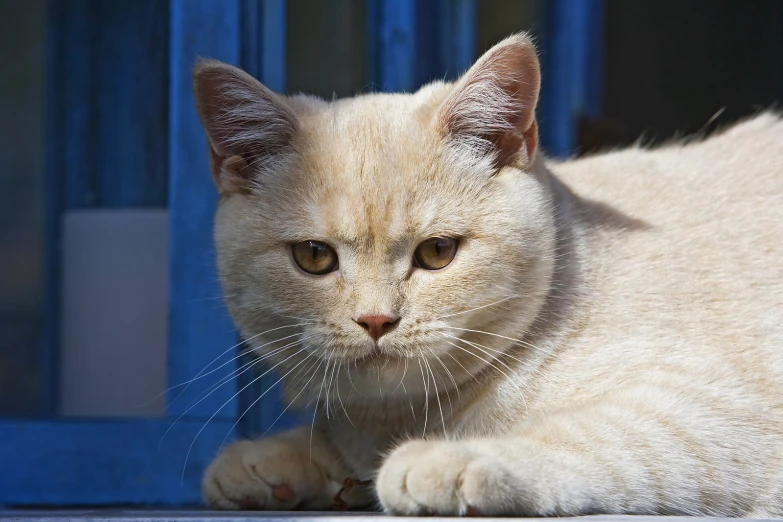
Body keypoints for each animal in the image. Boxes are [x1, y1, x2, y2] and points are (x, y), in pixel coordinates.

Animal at [191, 33, 783, 516]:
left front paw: (452, 458)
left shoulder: (715, 413)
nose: (377, 320)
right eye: (314, 256)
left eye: (437, 252)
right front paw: (272, 459)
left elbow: (588, 436)